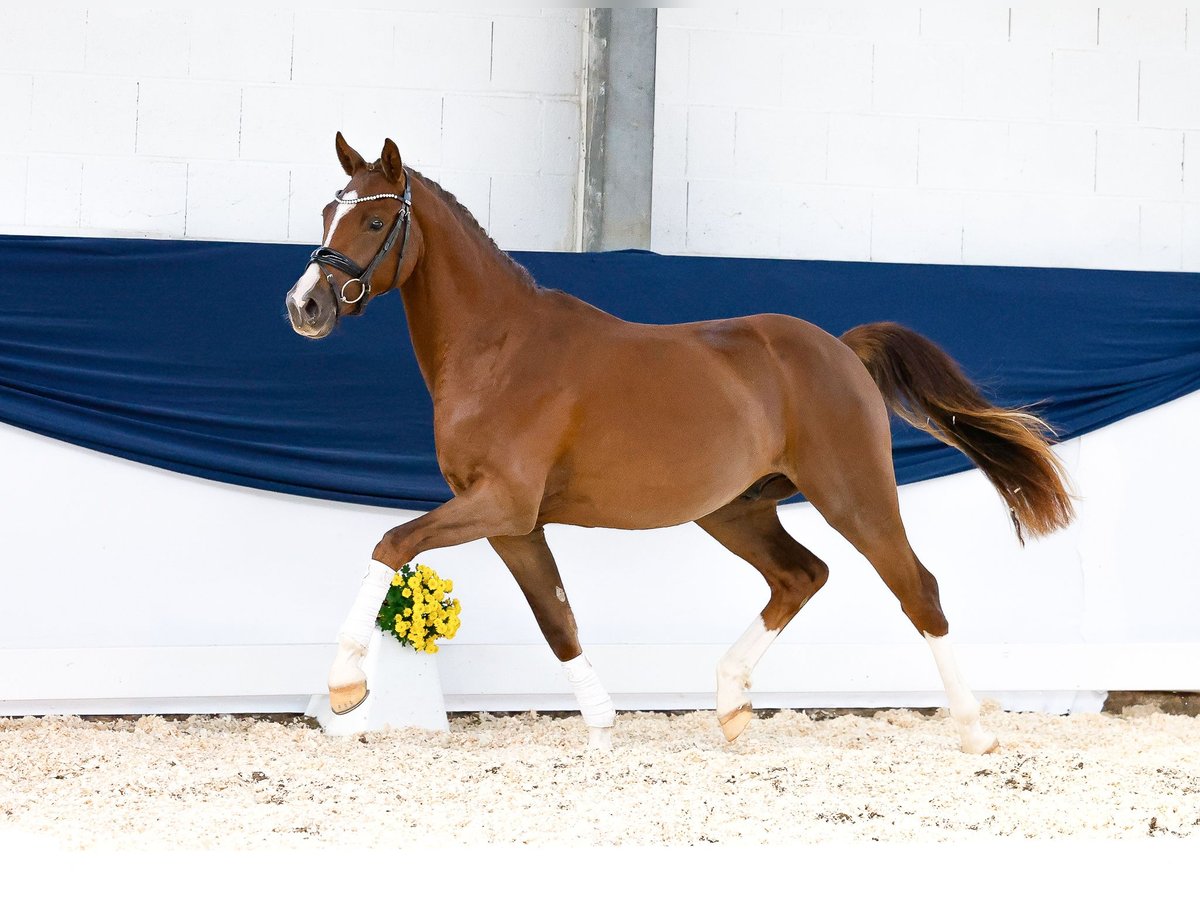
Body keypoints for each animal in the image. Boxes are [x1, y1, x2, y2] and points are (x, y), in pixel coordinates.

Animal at [285, 133, 1075, 753]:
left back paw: (976, 732)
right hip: (735, 510)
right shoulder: (514, 524)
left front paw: (346, 685)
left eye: (376, 218)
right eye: (328, 211)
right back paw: (730, 705)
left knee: (917, 588)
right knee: (801, 576)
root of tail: (840, 350)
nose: (305, 306)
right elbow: (558, 619)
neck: (500, 350)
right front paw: (603, 729)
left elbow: (391, 543)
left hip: (853, 494)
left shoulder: (500, 506)